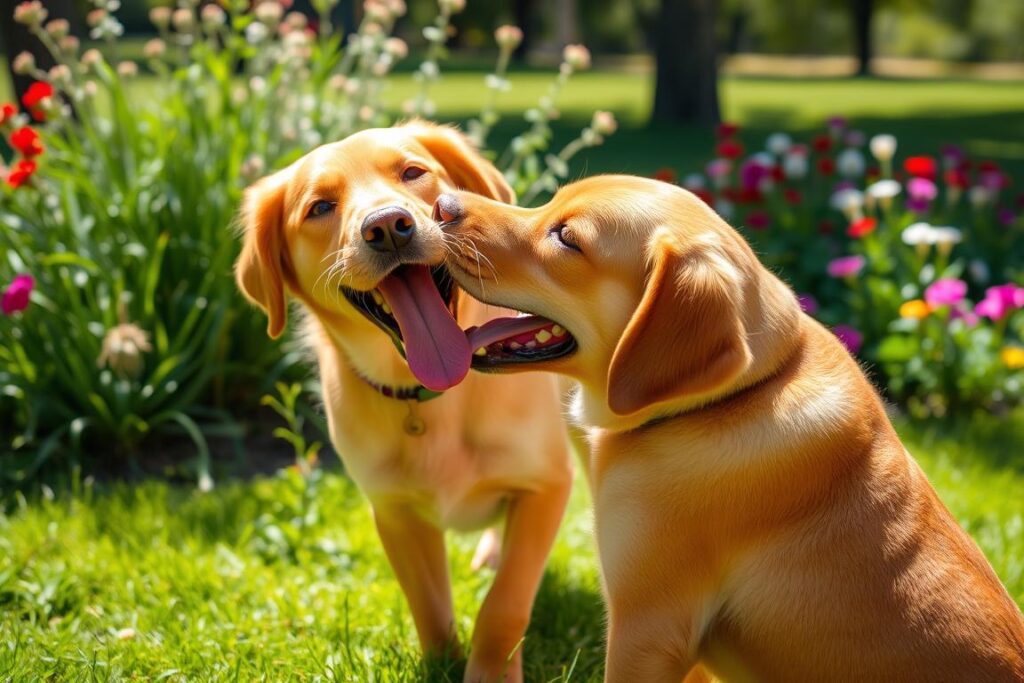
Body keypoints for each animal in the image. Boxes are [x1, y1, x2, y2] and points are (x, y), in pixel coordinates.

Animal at [235, 124, 581, 683]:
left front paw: (489, 669)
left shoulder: (545, 486)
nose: (388, 227)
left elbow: (505, 602)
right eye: (319, 207)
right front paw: (441, 662)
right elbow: (429, 606)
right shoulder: (395, 512)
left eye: (412, 172)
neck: (431, 393)